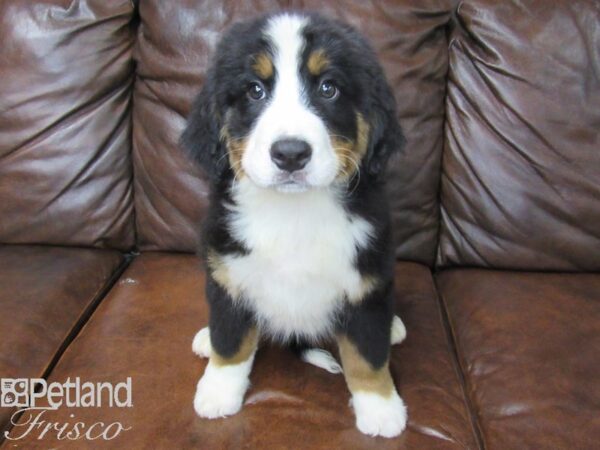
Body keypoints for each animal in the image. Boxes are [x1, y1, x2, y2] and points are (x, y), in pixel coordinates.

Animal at [182, 12, 408, 438]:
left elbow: (367, 354)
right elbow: (230, 340)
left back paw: (396, 327)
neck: (293, 214)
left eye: (328, 88)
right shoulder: (228, 275)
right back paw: (205, 339)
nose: (290, 153)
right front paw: (217, 392)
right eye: (254, 90)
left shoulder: (365, 280)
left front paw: (381, 408)